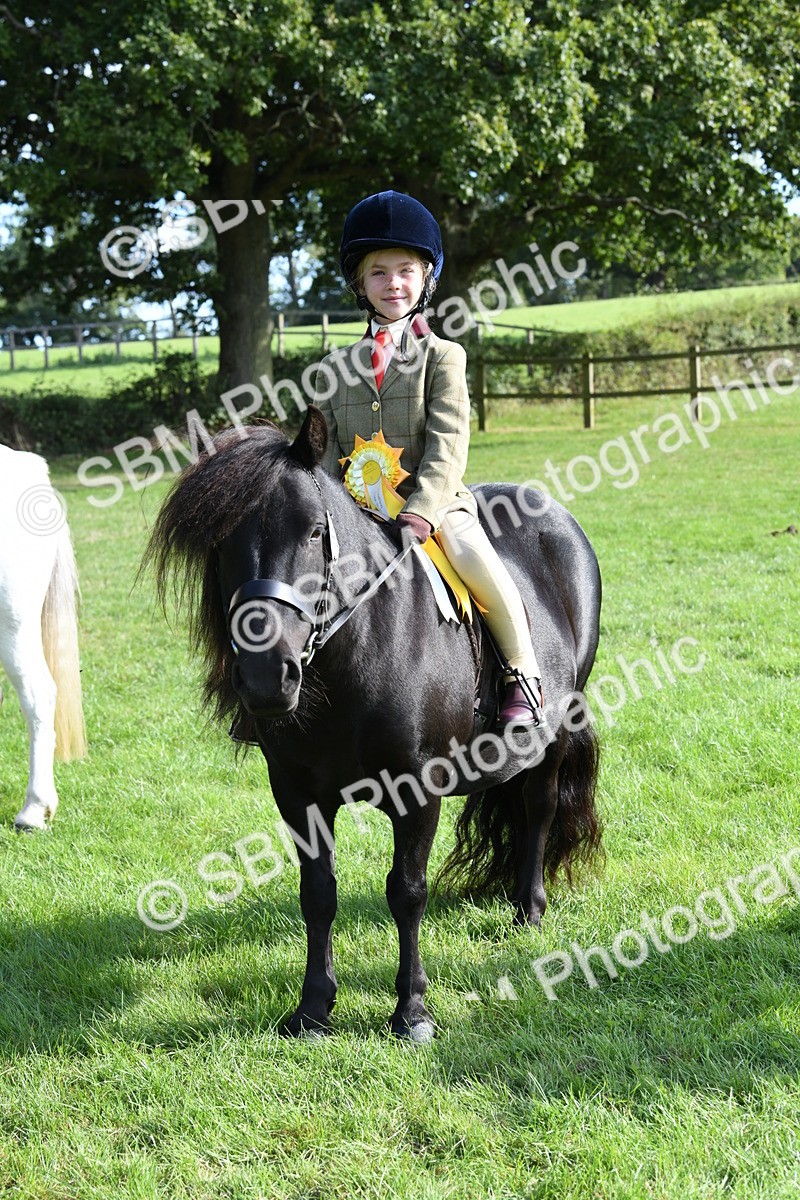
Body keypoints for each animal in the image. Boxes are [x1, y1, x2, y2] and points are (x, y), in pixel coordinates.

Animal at [145, 407, 602, 1040]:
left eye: (314, 531)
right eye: (219, 541)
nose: (266, 677)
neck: (356, 654)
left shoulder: (418, 792)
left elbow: (406, 891)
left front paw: (412, 1011)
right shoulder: (297, 795)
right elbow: (318, 893)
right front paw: (313, 1007)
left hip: (555, 730)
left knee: (539, 806)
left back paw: (527, 909)